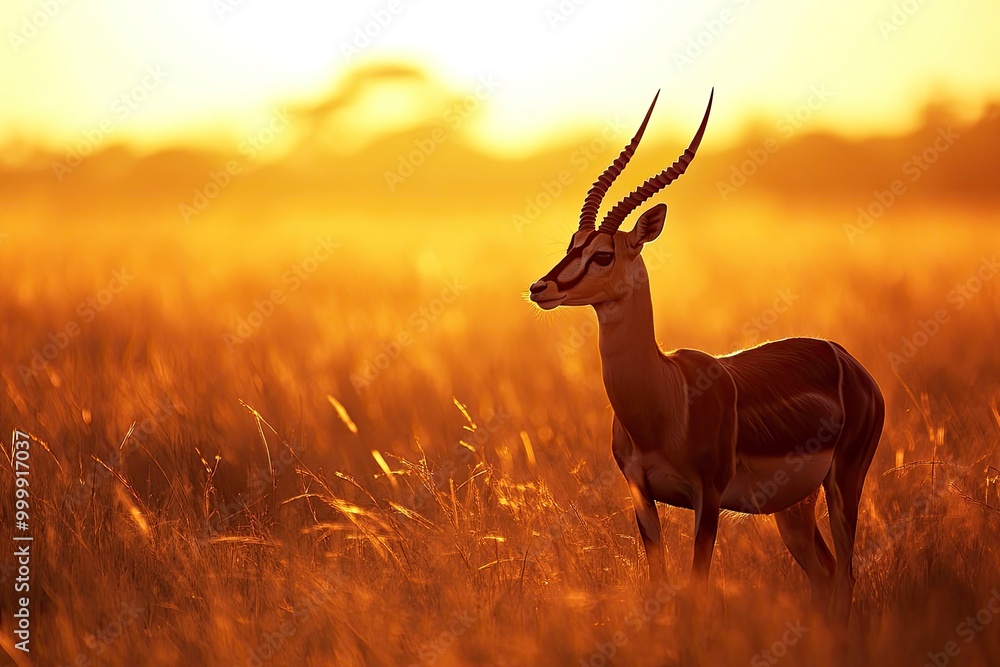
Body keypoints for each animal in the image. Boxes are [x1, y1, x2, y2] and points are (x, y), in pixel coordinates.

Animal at [527, 90, 884, 624]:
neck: (666, 400)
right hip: (792, 507)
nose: (540, 287)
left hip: (845, 484)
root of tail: (849, 362)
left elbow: (697, 587)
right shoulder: (641, 495)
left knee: (845, 577)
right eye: (573, 244)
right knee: (822, 574)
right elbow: (658, 584)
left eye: (604, 254)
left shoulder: (708, 497)